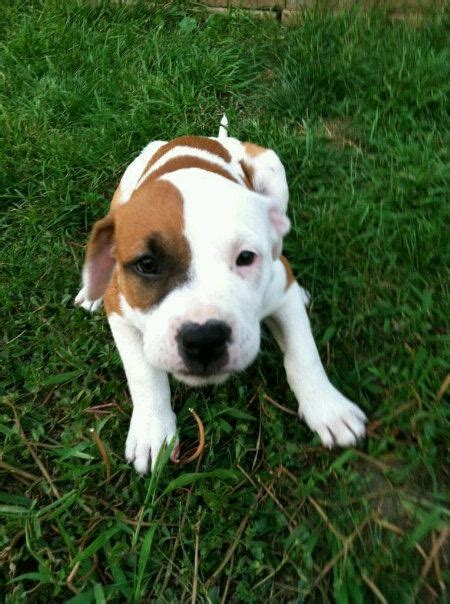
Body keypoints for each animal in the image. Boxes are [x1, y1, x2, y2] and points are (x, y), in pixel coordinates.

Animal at [75, 118, 368, 474]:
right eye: (147, 264)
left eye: (246, 258)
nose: (204, 339)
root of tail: (205, 138)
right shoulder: (120, 311)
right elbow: (144, 375)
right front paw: (152, 429)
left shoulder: (281, 292)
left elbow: (303, 354)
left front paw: (328, 408)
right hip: (125, 185)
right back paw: (91, 292)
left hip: (272, 170)